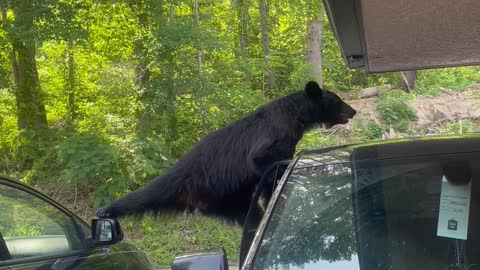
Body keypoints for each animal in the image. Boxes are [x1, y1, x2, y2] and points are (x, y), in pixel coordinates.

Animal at [95, 81, 356, 225]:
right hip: (187, 179)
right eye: (338, 100)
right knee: (146, 194)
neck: (297, 118)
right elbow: (261, 160)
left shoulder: (289, 140)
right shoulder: (274, 132)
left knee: (250, 214)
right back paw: (107, 209)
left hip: (230, 201)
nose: (353, 110)